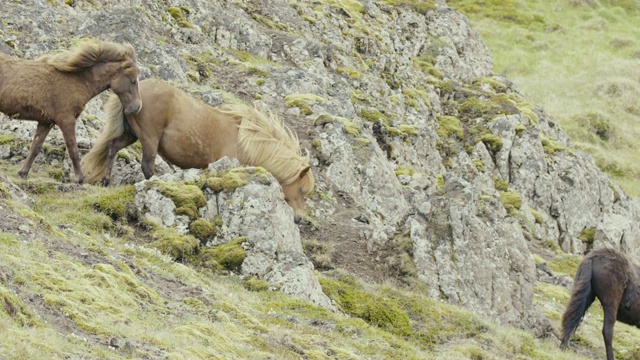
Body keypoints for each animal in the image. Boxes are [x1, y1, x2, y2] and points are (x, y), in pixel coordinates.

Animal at [0, 39, 141, 183]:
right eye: (133, 80)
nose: (137, 108)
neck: (77, 80)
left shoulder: (46, 122)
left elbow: (35, 147)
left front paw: (23, 173)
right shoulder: (66, 121)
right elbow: (73, 150)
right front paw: (80, 179)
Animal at [82, 77, 316, 221]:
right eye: (302, 190)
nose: (300, 219)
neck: (246, 140)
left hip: (130, 135)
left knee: (111, 148)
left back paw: (106, 181)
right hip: (148, 139)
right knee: (147, 167)